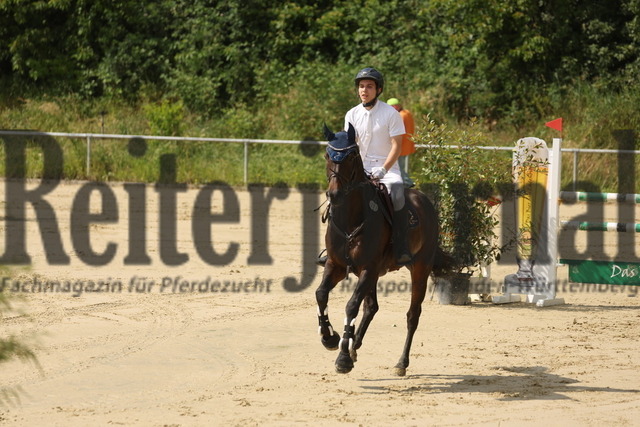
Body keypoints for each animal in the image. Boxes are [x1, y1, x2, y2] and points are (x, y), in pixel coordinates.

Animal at [316, 123, 450, 374]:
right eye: (328, 155)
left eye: (352, 156)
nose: (334, 195)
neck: (350, 218)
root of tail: (423, 200)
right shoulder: (336, 265)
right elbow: (321, 294)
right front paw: (329, 338)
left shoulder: (368, 268)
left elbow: (351, 306)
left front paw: (343, 358)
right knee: (371, 307)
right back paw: (355, 346)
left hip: (420, 269)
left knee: (412, 315)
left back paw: (401, 363)